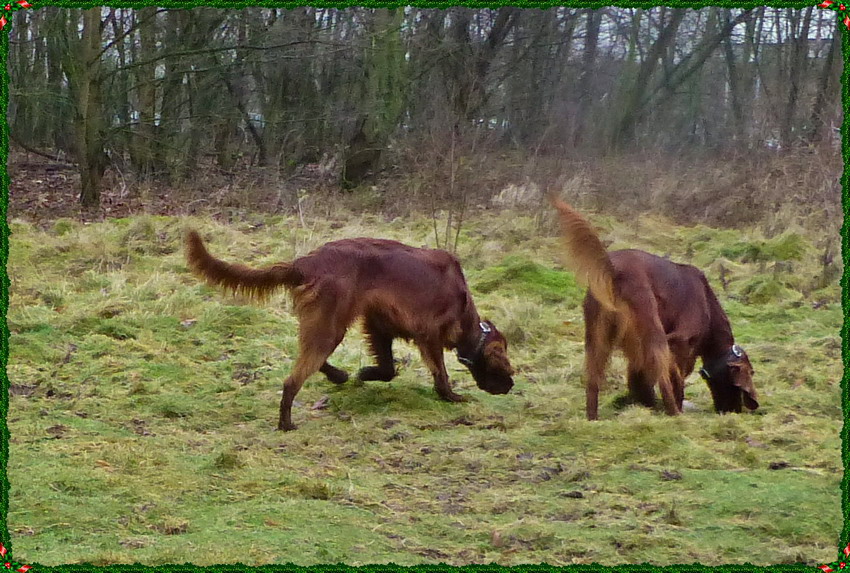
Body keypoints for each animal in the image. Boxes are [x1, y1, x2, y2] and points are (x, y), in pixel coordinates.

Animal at [185, 231, 514, 430]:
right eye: (505, 366)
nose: (511, 386)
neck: (463, 305)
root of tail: (306, 262)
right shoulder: (429, 334)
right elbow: (440, 373)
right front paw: (452, 397)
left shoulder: (379, 324)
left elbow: (388, 369)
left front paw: (364, 374)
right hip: (331, 324)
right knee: (293, 378)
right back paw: (286, 423)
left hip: (324, 323)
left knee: (311, 359)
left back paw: (338, 376)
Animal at [550, 199, 758, 420]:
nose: (733, 411)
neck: (708, 304)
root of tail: (613, 270)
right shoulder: (679, 342)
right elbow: (676, 380)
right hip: (652, 329)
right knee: (662, 377)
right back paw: (674, 413)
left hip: (597, 336)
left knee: (592, 378)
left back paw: (593, 419)